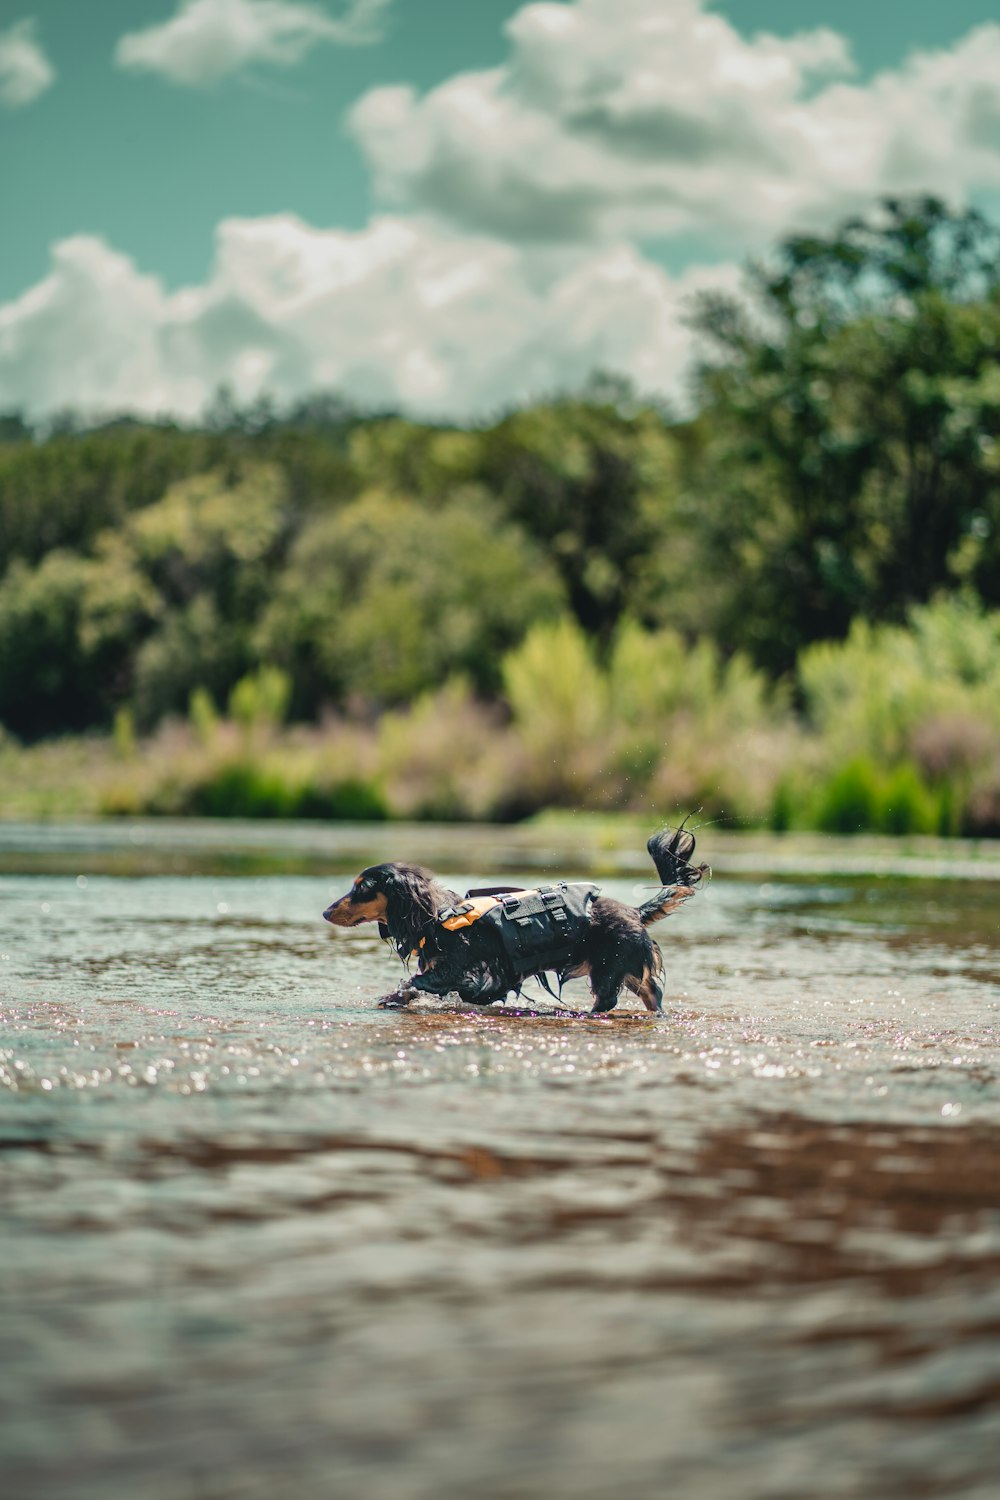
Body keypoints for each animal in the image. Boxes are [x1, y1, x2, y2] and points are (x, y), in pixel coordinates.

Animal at [325, 828, 707, 1014]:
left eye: (362, 888)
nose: (326, 912)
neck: (438, 917)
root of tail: (634, 911)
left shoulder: (468, 970)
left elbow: (423, 982)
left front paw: (396, 997)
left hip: (607, 969)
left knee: (607, 1001)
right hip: (624, 970)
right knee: (652, 992)